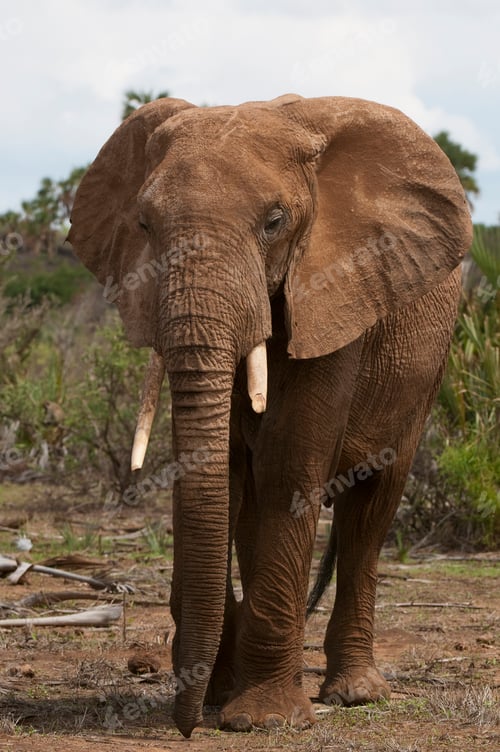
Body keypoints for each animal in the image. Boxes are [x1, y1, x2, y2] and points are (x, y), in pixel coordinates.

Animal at [68, 94, 472, 737]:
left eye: (275, 222)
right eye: (144, 224)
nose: (186, 726)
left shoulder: (336, 289)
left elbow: (289, 464)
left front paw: (264, 721)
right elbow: (221, 471)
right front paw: (221, 697)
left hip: (425, 371)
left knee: (371, 506)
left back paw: (355, 694)